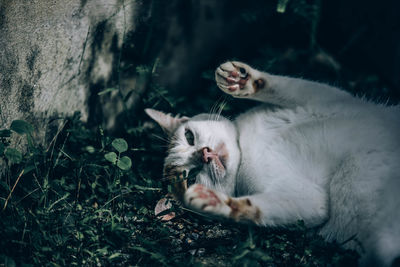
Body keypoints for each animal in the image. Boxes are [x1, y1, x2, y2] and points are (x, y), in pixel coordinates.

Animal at [145, 61, 398, 267]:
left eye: (189, 136)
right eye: (191, 177)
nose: (204, 155)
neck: (246, 145)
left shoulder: (327, 99)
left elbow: (289, 86)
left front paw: (241, 80)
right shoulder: (307, 198)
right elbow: (259, 208)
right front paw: (216, 202)